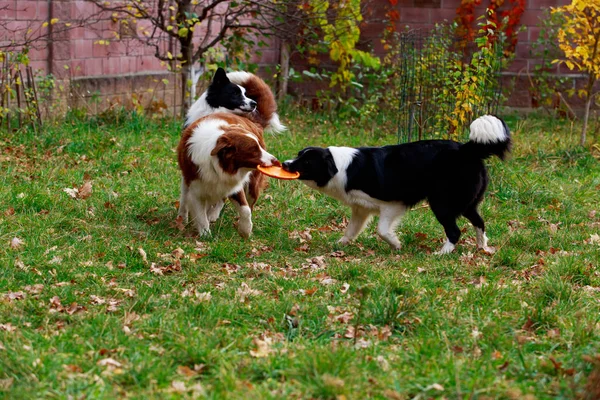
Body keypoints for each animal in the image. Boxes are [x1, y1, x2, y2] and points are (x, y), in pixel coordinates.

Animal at [177, 69, 284, 238]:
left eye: (246, 93)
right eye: (234, 94)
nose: (254, 104)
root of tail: (254, 121)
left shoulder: (233, 184)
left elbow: (244, 209)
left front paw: (245, 230)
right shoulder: (191, 181)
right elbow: (190, 204)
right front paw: (196, 228)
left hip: (252, 185)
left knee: (247, 204)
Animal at [282, 114, 510, 255]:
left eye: (307, 162)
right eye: (299, 155)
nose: (285, 164)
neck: (341, 167)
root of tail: (466, 150)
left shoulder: (392, 205)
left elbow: (382, 230)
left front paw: (396, 244)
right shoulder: (360, 209)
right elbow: (351, 230)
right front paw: (340, 245)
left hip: (441, 203)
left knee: (455, 231)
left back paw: (442, 253)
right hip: (466, 203)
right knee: (479, 222)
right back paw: (482, 247)